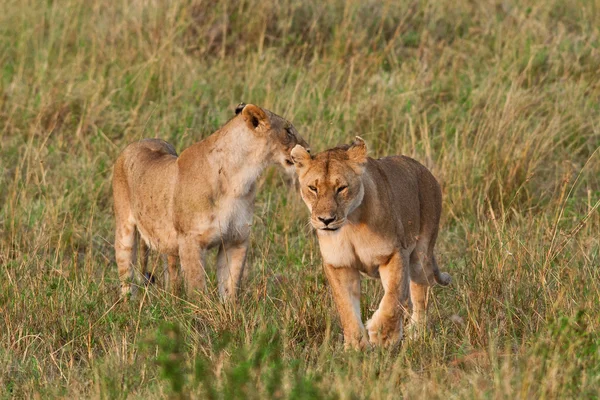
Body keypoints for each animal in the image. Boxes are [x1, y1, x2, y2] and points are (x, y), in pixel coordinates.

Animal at [113, 103, 310, 300]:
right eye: (288, 130)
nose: (308, 150)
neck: (239, 178)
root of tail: (137, 142)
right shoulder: (190, 241)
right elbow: (197, 288)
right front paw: (200, 308)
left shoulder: (236, 239)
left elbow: (230, 286)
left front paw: (229, 308)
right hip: (125, 232)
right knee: (127, 275)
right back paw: (129, 303)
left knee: (171, 270)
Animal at [290, 137, 450, 346]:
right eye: (313, 188)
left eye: (341, 188)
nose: (326, 220)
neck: (350, 225)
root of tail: (425, 171)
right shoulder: (339, 265)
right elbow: (346, 308)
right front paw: (355, 346)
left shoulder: (394, 254)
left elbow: (393, 296)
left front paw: (382, 334)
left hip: (421, 255)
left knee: (419, 294)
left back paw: (416, 334)